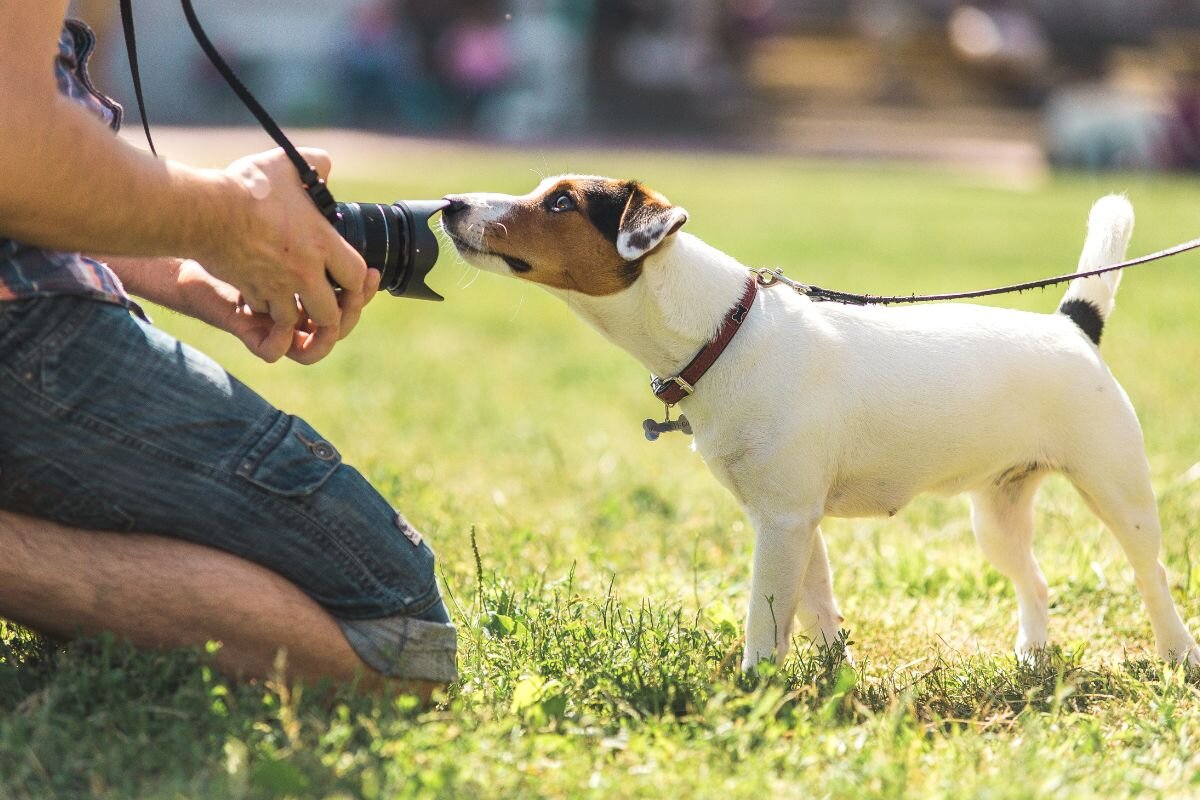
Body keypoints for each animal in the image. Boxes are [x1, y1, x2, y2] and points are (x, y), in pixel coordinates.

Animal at [441, 175, 1200, 671]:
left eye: (561, 201)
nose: (450, 205)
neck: (725, 328)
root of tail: (1072, 327)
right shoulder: (790, 519)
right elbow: (814, 610)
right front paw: (836, 682)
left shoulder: (781, 523)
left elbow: (764, 618)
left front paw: (754, 691)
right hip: (998, 514)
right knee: (1035, 582)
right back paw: (1035, 658)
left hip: (1119, 492)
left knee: (1153, 577)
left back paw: (1175, 655)